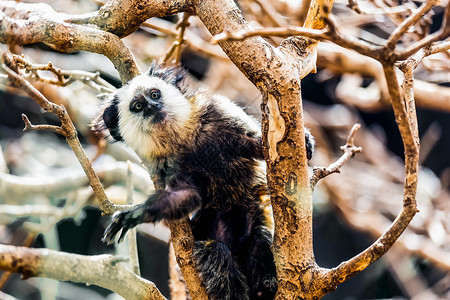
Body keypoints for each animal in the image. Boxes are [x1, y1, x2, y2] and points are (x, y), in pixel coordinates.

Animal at [92, 62, 314, 298]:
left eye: (154, 94)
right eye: (138, 106)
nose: (153, 107)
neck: (185, 138)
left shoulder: (219, 112)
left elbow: (257, 144)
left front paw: (305, 139)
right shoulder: (169, 165)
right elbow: (187, 194)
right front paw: (135, 214)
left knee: (260, 241)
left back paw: (266, 286)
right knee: (216, 253)